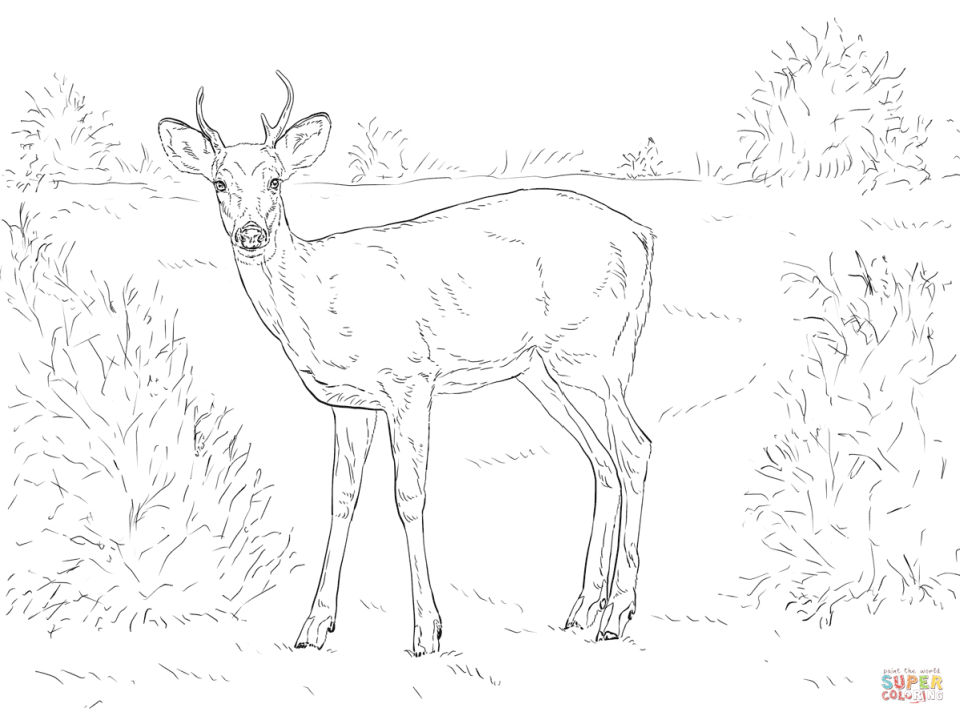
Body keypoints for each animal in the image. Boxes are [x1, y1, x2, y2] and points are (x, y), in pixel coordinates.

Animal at [159, 71, 654, 656]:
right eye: (219, 183)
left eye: (276, 181)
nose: (251, 234)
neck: (316, 300)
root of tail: (643, 237)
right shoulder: (349, 404)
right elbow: (342, 497)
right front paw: (314, 626)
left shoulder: (411, 379)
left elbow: (409, 496)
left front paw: (427, 630)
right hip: (543, 369)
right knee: (602, 459)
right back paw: (581, 610)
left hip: (594, 353)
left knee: (635, 449)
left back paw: (617, 614)